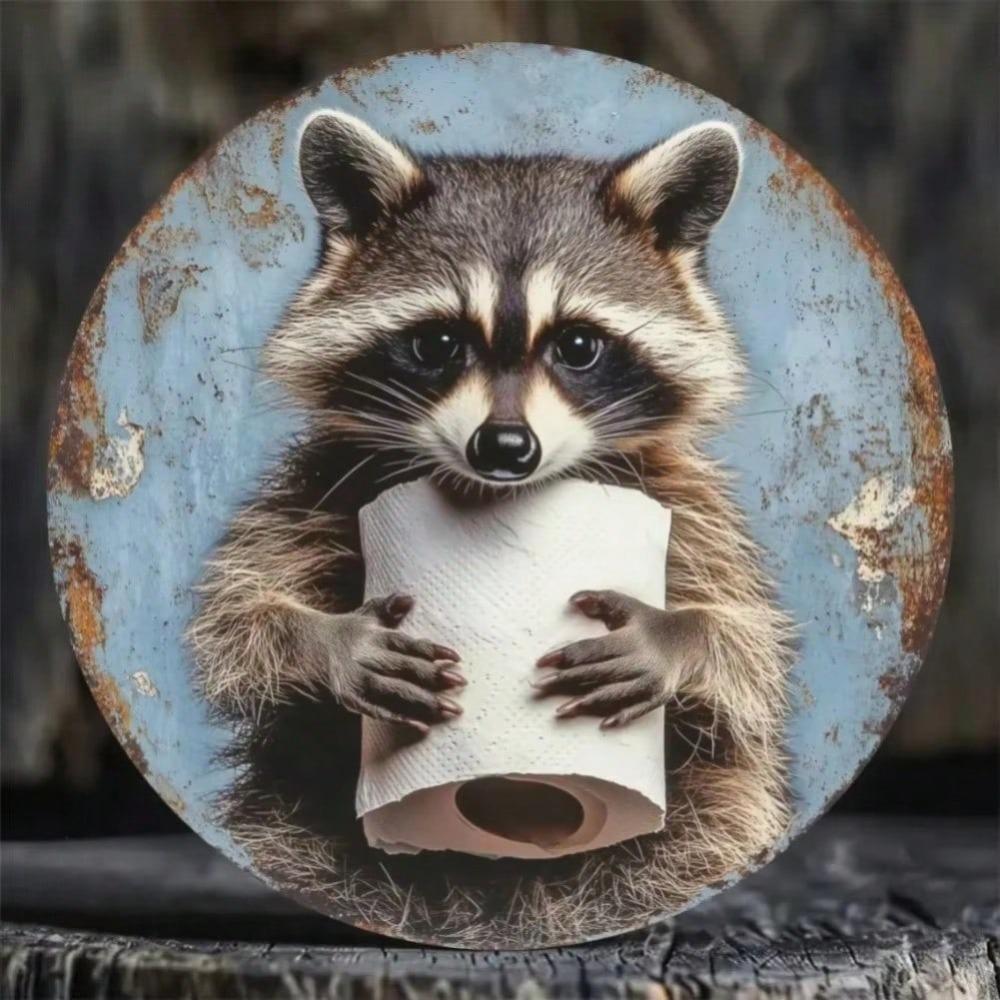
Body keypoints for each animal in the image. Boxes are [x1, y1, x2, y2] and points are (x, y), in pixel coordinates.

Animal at [188, 110, 795, 947]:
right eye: (439, 344)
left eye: (578, 345)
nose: (506, 448)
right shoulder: (319, 484)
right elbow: (235, 622)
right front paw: (327, 639)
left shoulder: (688, 504)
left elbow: (752, 648)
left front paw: (676, 636)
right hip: (301, 830)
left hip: (694, 829)